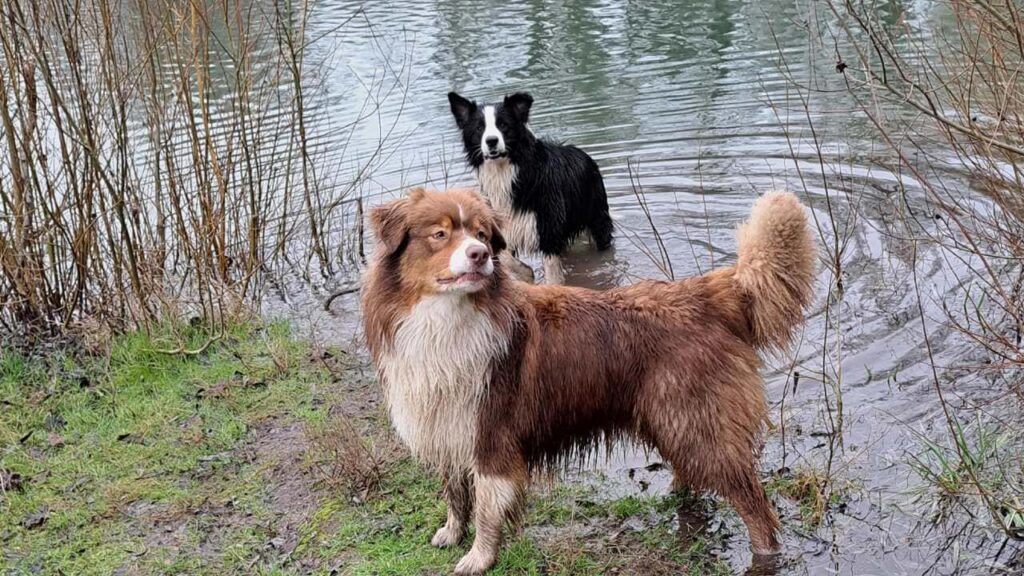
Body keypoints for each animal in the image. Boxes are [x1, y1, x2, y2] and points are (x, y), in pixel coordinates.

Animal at [360, 186, 815, 569]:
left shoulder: (491, 434)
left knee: (754, 505)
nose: (480, 255)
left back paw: (764, 554)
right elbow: (454, 492)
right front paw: (452, 533)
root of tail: (707, 291)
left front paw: (478, 558)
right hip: (675, 420)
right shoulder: (447, 425)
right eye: (439, 234)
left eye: (482, 234)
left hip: (699, 424)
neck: (445, 319)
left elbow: (488, 508)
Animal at [446, 90, 606, 284]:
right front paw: (526, 274)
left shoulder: (548, 227)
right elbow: (502, 255)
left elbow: (552, 272)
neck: (506, 173)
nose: (491, 141)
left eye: (503, 125)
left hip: (597, 219)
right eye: (479, 128)